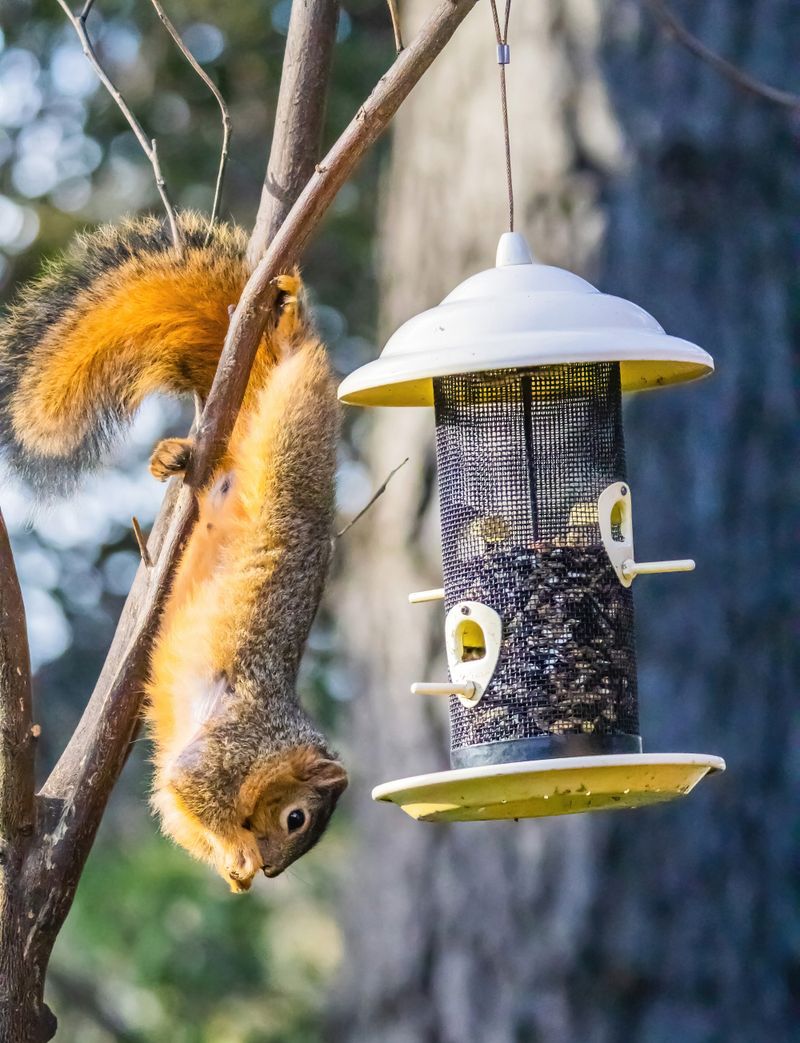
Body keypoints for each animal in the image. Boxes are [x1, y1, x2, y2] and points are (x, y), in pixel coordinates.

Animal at [0, 211, 348, 892]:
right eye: (296, 818)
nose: (270, 871)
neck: (277, 734)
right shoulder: (231, 745)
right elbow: (194, 788)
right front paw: (236, 852)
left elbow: (178, 809)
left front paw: (231, 868)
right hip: (298, 439)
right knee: (300, 373)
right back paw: (291, 328)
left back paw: (180, 456)